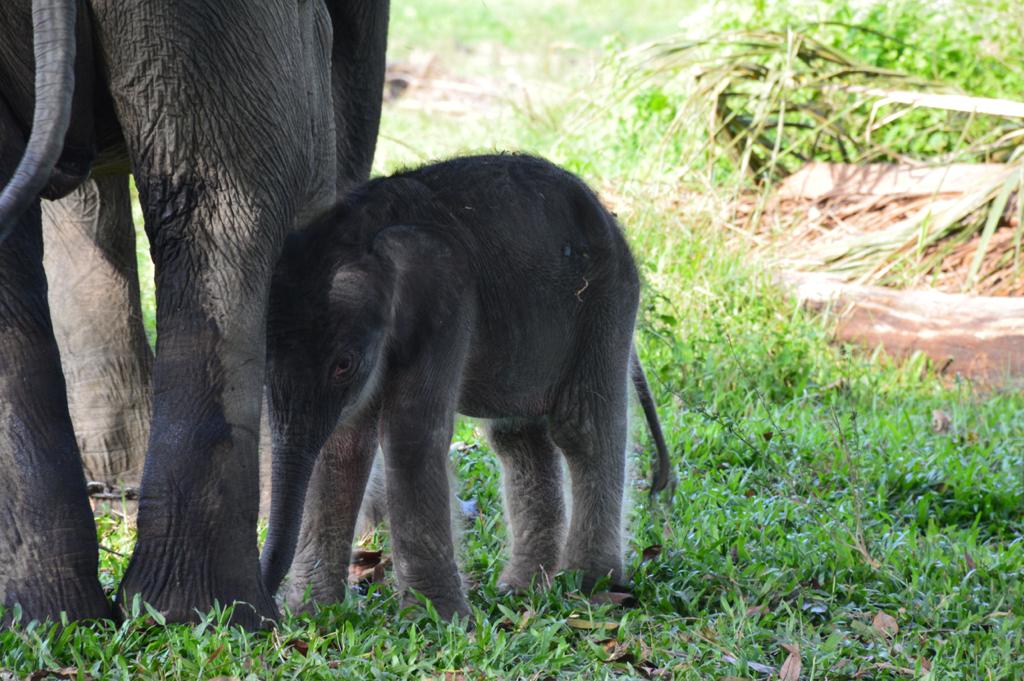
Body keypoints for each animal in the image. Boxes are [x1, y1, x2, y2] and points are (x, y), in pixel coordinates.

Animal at [259, 153, 673, 619]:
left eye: (342, 366)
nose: (267, 613)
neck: (363, 226)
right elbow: (343, 444)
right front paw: (312, 614)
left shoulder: (446, 302)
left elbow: (409, 433)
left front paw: (437, 621)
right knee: (518, 438)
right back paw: (523, 588)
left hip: (606, 302)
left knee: (583, 429)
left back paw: (593, 585)